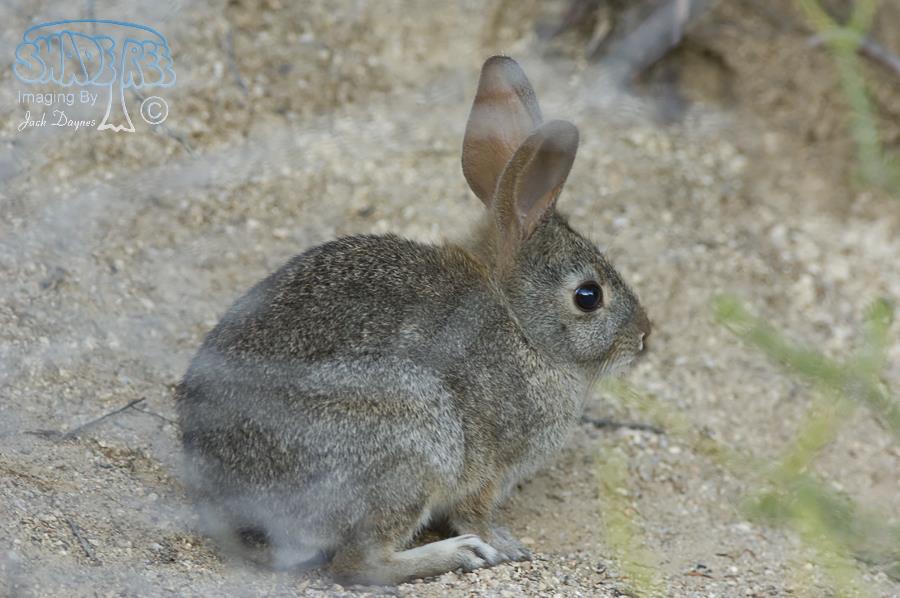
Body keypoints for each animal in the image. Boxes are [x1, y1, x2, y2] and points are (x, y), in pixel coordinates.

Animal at [175, 55, 650, 586]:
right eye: (588, 296)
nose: (644, 336)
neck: (522, 327)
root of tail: (238, 511)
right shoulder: (486, 469)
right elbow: (476, 513)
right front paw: (505, 544)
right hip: (413, 447)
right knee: (358, 561)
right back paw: (457, 554)